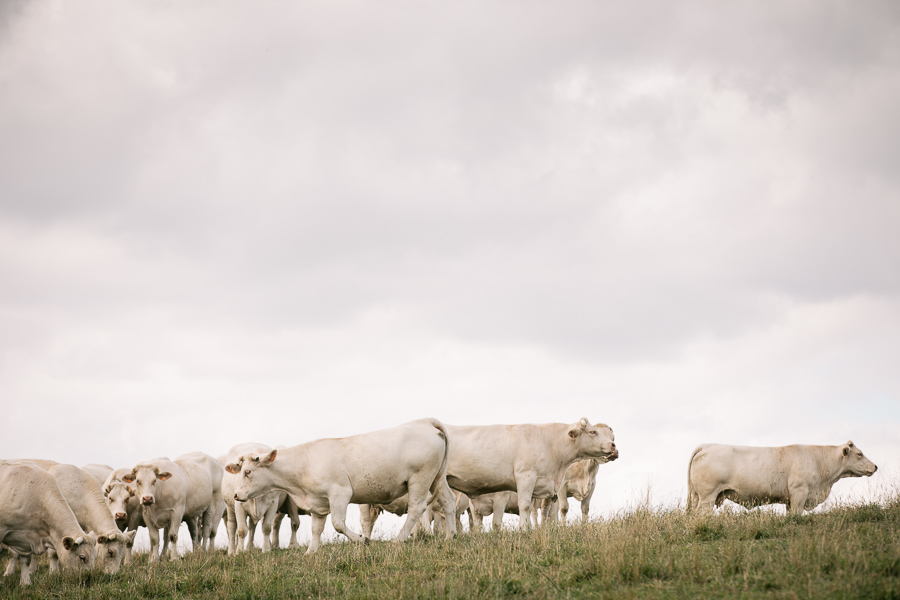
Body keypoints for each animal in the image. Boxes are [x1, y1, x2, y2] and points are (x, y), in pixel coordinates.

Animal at [225, 418, 458, 552]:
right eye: (240, 470)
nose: (236, 495)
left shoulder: (340, 493)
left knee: (416, 509)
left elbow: (337, 523)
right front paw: (311, 552)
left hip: (420, 479)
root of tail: (425, 422)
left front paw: (361, 540)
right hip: (437, 478)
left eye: (248, 472)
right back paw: (450, 536)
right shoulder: (318, 504)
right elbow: (317, 529)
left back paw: (399, 540)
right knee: (449, 501)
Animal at [688, 438, 880, 512]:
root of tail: (707, 445)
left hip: (697, 495)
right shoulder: (799, 492)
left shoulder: (790, 499)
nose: (876, 466)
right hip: (708, 495)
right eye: (860, 454)